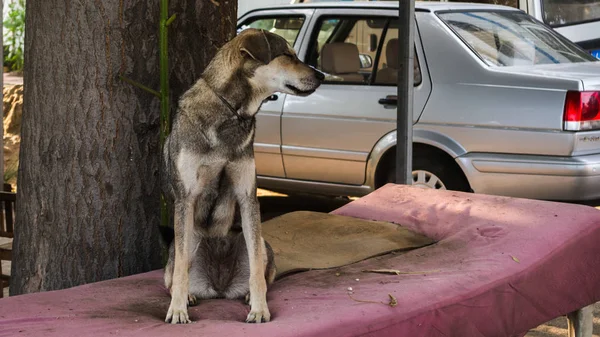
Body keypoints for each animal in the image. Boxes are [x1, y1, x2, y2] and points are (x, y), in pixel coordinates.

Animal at [162, 28, 324, 322]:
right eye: (287, 55)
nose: (322, 76)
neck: (231, 112)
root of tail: (219, 288)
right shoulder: (185, 198)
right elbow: (180, 272)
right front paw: (178, 310)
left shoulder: (248, 197)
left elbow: (257, 272)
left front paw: (259, 308)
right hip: (187, 243)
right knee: (176, 271)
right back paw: (187, 297)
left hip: (262, 242)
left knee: (260, 267)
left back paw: (248, 295)